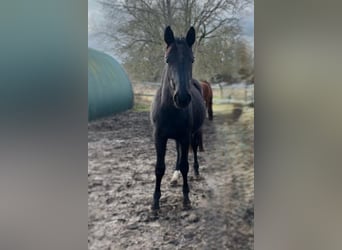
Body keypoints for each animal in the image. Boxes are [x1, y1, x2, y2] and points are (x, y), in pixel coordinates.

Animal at [150, 26, 206, 210]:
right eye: (167, 59)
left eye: (192, 59)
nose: (182, 98)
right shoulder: (159, 137)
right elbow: (159, 168)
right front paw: (155, 203)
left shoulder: (185, 136)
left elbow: (185, 165)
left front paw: (186, 198)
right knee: (178, 153)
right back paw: (174, 177)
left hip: (195, 132)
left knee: (193, 150)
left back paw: (196, 172)